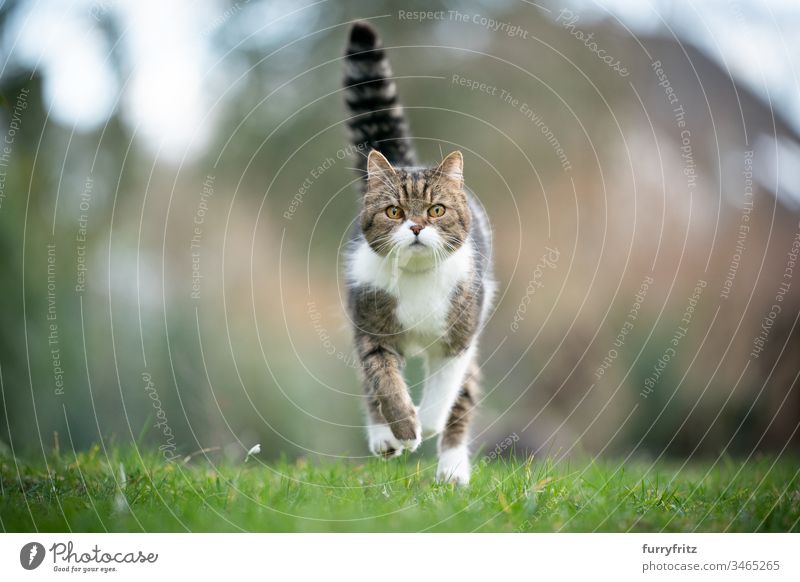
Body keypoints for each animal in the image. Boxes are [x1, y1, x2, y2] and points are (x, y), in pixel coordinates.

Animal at [340, 21, 494, 488]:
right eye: (394, 211)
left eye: (436, 210)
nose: (415, 226)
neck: (417, 278)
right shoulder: (369, 328)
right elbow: (382, 379)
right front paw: (403, 427)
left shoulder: (459, 336)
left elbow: (446, 388)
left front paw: (425, 423)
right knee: (369, 384)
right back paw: (384, 437)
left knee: (464, 396)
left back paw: (453, 468)